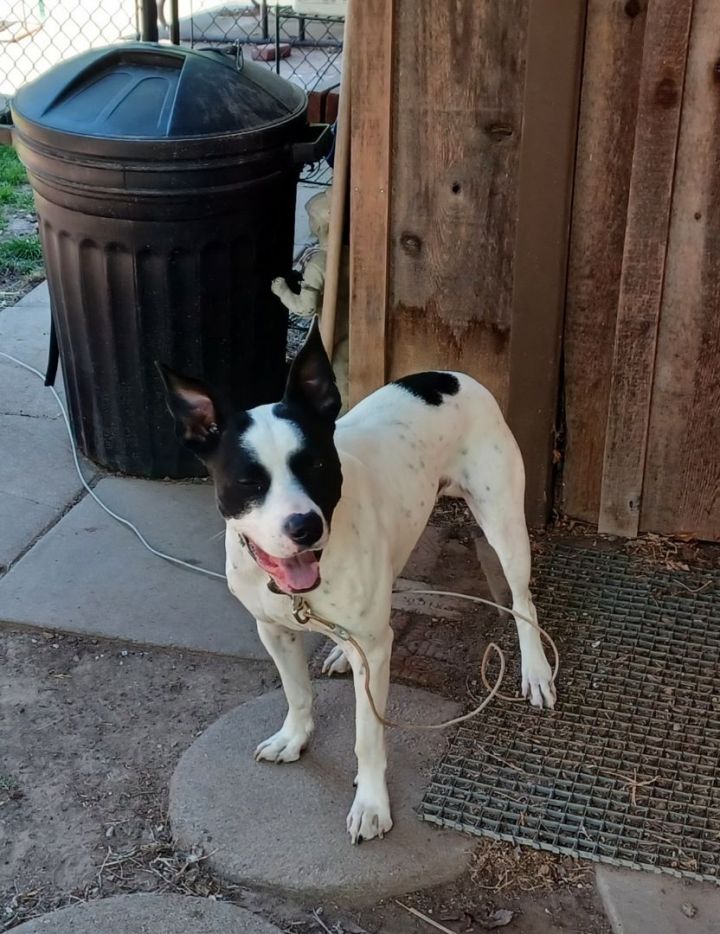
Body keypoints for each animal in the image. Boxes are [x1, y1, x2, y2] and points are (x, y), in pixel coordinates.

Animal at [159, 322, 556, 848]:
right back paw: (339, 654)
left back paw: (536, 669)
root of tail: (450, 375)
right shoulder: (274, 631)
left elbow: (367, 737)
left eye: (317, 465)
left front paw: (370, 804)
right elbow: (296, 692)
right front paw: (294, 737)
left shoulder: (371, 651)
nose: (304, 526)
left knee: (522, 600)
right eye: (248, 481)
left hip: (505, 523)